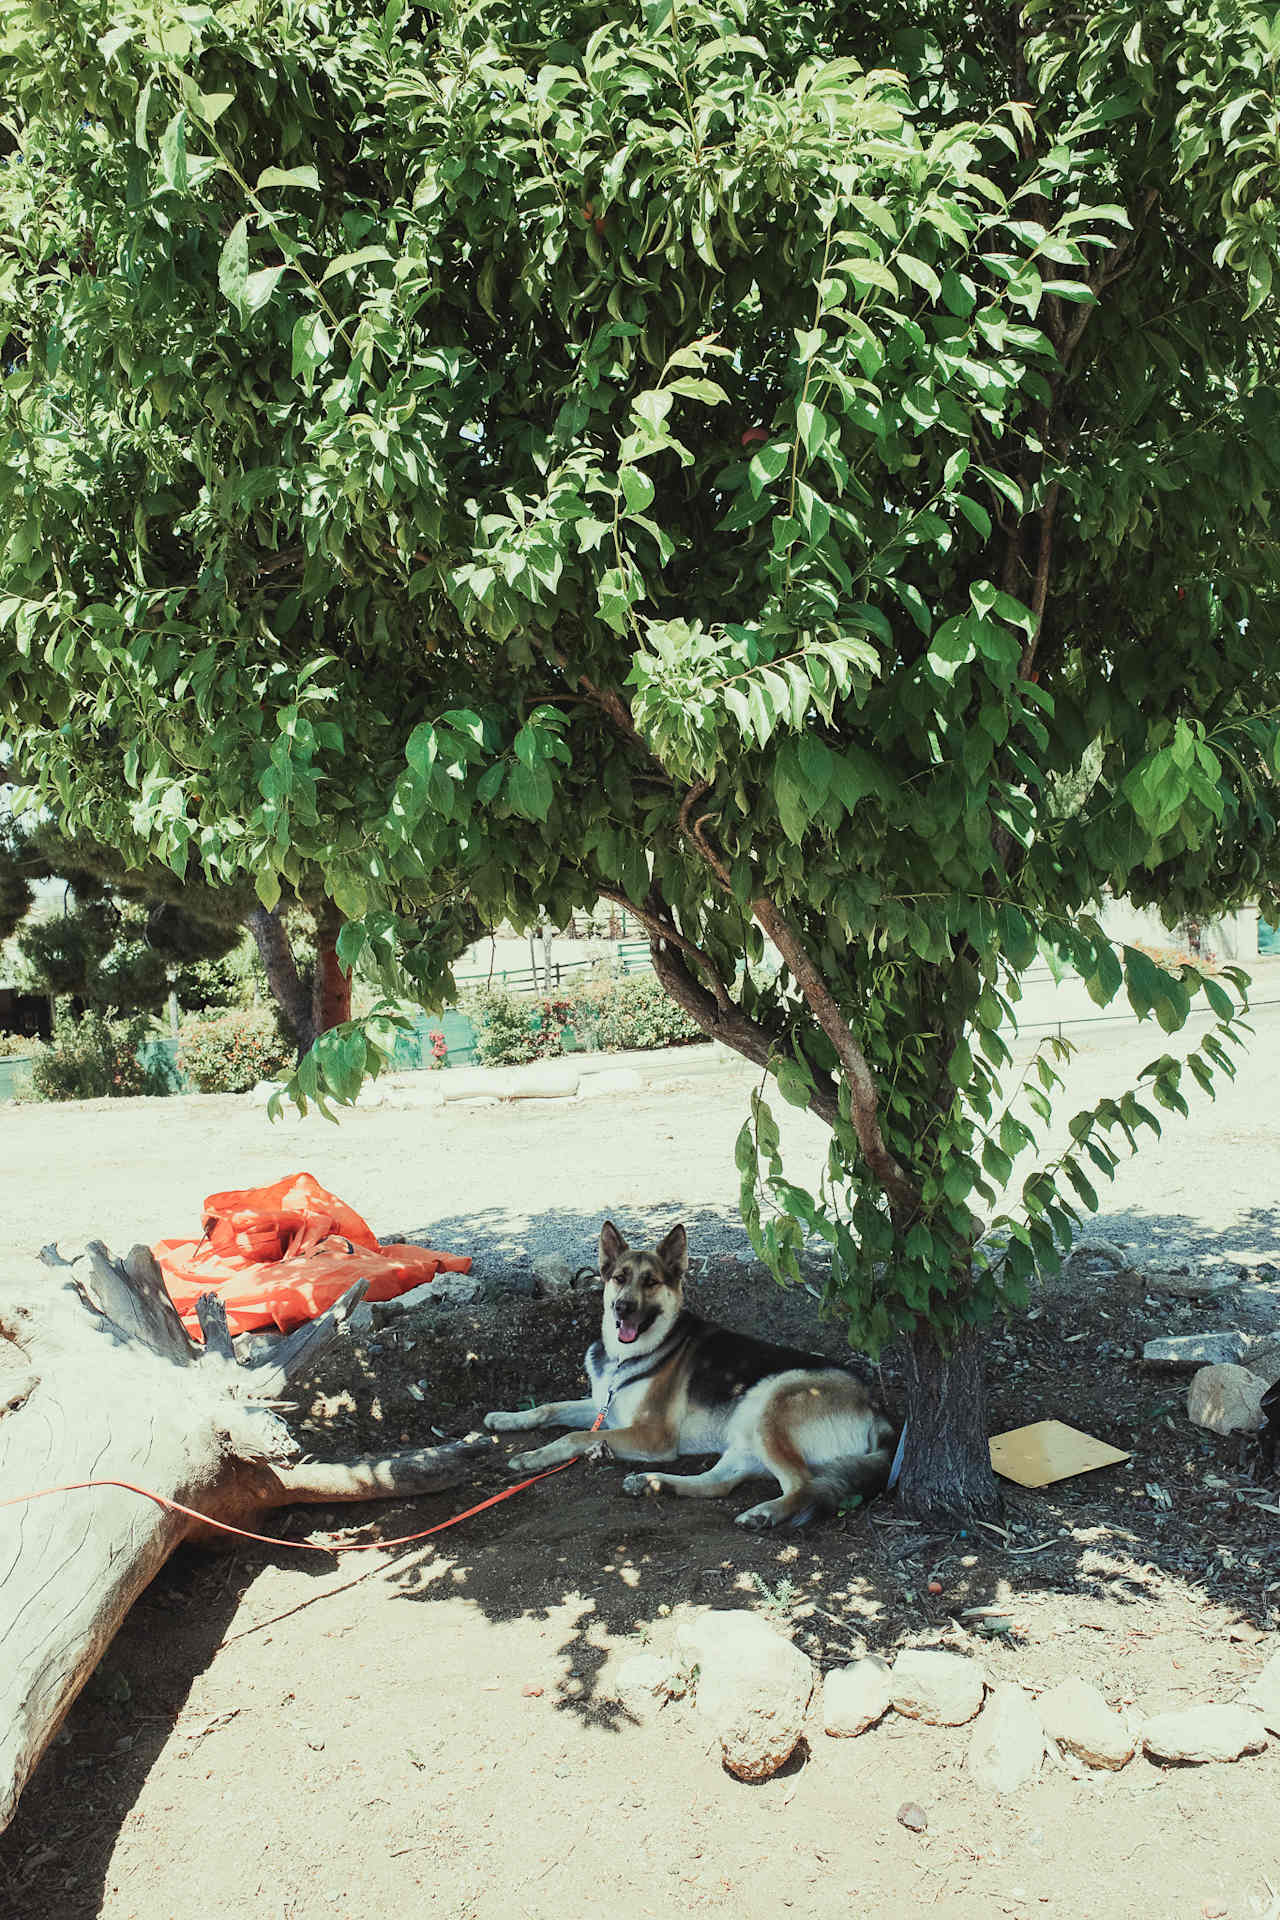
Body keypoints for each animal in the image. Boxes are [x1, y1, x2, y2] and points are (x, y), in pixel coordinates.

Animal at [485, 1221, 898, 1520]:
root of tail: (874, 1407)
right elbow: (548, 1408)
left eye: (651, 1282)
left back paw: (765, 1512)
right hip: (745, 1435)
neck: (623, 1358)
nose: (622, 1308)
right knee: (718, 1484)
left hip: (773, 1404)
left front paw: (532, 1457)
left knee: (802, 1484)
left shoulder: (652, 1435)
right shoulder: (603, 1406)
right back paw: (653, 1483)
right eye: (619, 1278)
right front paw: (505, 1419)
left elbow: (574, 1436)